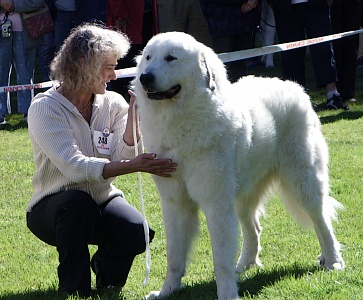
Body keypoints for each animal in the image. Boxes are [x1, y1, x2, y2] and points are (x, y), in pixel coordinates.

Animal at [134, 31, 346, 298]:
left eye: (171, 58)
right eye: (148, 58)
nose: (145, 77)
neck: (181, 120)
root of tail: (292, 86)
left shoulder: (216, 203)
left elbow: (220, 258)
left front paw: (226, 293)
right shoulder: (175, 203)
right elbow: (174, 256)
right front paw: (166, 291)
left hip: (302, 181)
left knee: (321, 220)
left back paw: (333, 261)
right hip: (243, 193)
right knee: (253, 228)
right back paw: (245, 265)